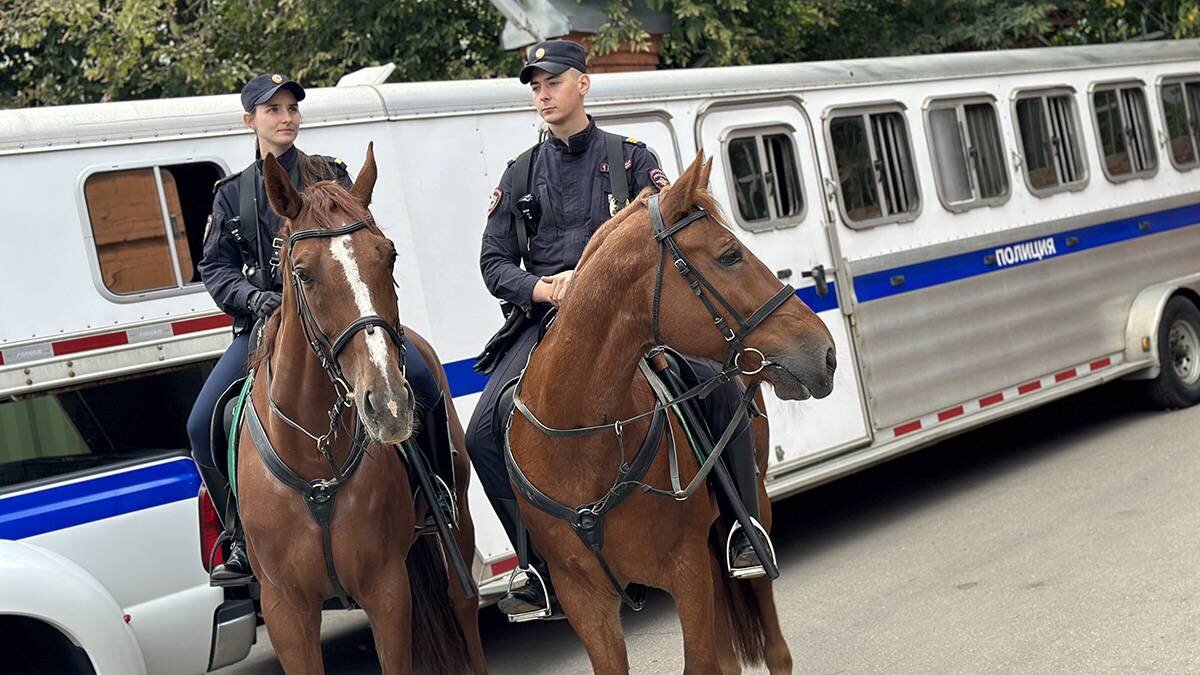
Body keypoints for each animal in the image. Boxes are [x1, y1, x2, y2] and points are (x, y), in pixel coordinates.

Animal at [238, 142, 487, 672]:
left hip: (456, 519)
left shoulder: (386, 590)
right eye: (303, 273)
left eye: (389, 256)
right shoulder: (286, 611)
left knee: (463, 601)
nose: (389, 405)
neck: (316, 464)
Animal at [506, 152, 835, 672]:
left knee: (776, 648)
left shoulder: (687, 571)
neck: (582, 446)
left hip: (751, 513)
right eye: (729, 255)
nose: (824, 352)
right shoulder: (585, 600)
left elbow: (701, 661)